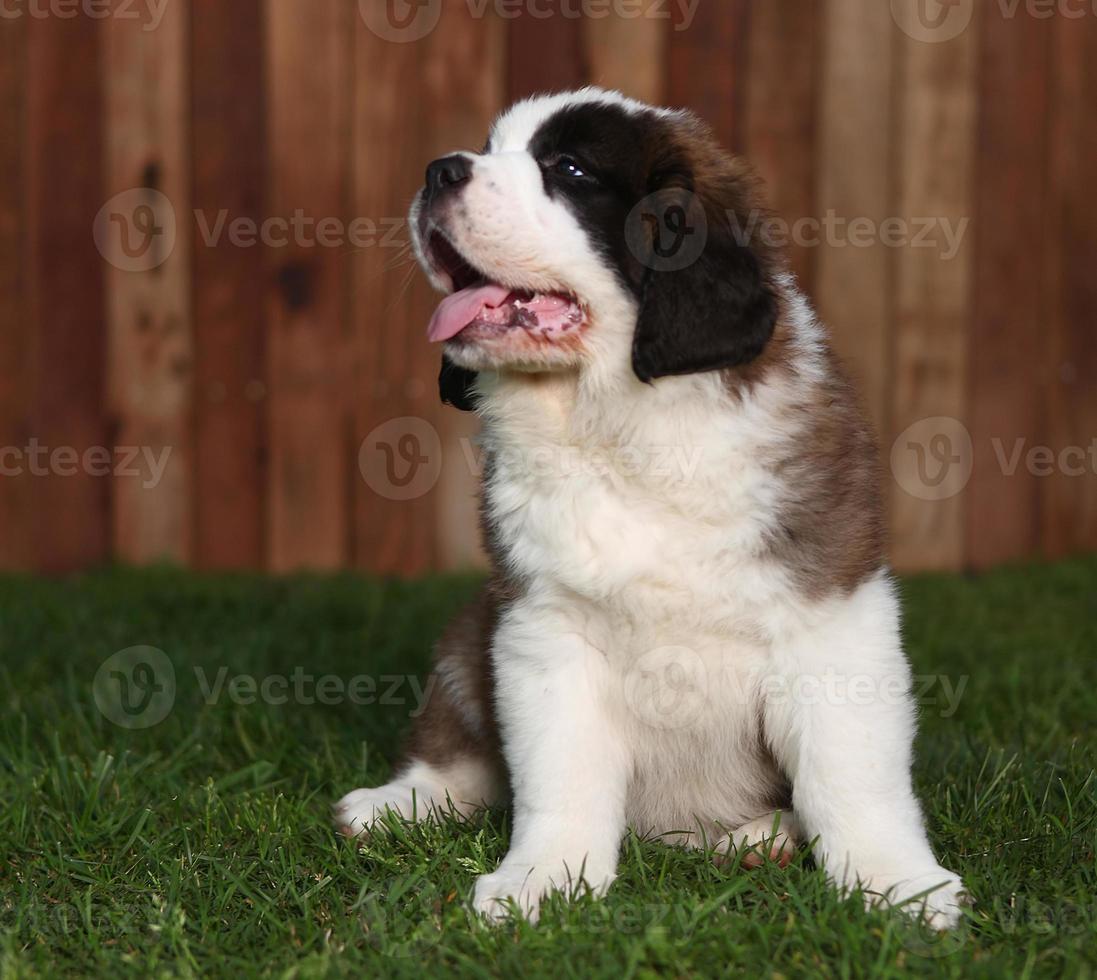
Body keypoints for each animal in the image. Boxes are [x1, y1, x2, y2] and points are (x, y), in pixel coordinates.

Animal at [329, 87, 965, 930]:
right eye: (490, 148)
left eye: (568, 170)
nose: (438, 171)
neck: (624, 424)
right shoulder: (542, 624)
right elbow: (557, 772)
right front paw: (545, 877)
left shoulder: (831, 615)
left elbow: (852, 773)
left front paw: (896, 883)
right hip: (471, 635)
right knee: (463, 745)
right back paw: (399, 801)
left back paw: (756, 837)